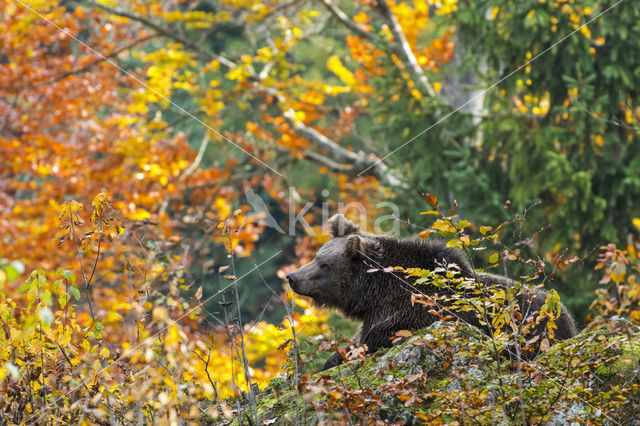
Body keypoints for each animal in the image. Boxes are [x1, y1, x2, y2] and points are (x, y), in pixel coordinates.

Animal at [288, 213, 576, 370]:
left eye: (324, 265)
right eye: (316, 256)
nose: (292, 277)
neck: (375, 293)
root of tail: (566, 315)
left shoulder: (405, 315)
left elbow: (369, 343)